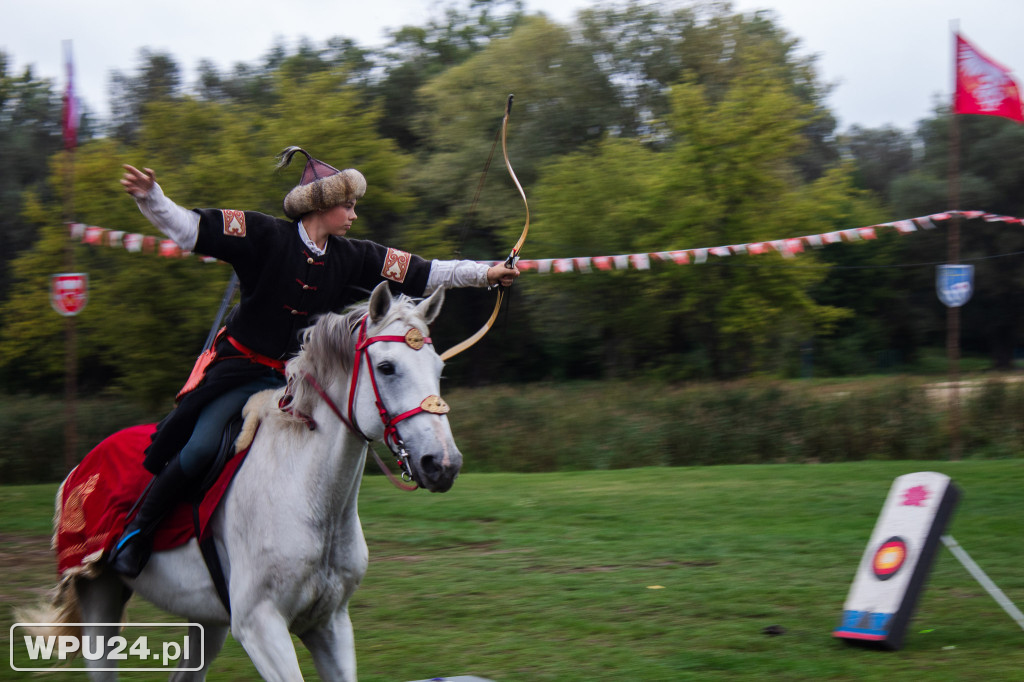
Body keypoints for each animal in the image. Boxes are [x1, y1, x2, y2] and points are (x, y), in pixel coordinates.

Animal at [22, 278, 462, 675]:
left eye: (440, 368)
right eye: (387, 367)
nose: (443, 463)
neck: (308, 492)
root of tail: (79, 469)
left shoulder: (330, 625)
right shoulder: (260, 627)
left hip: (206, 621)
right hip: (100, 598)